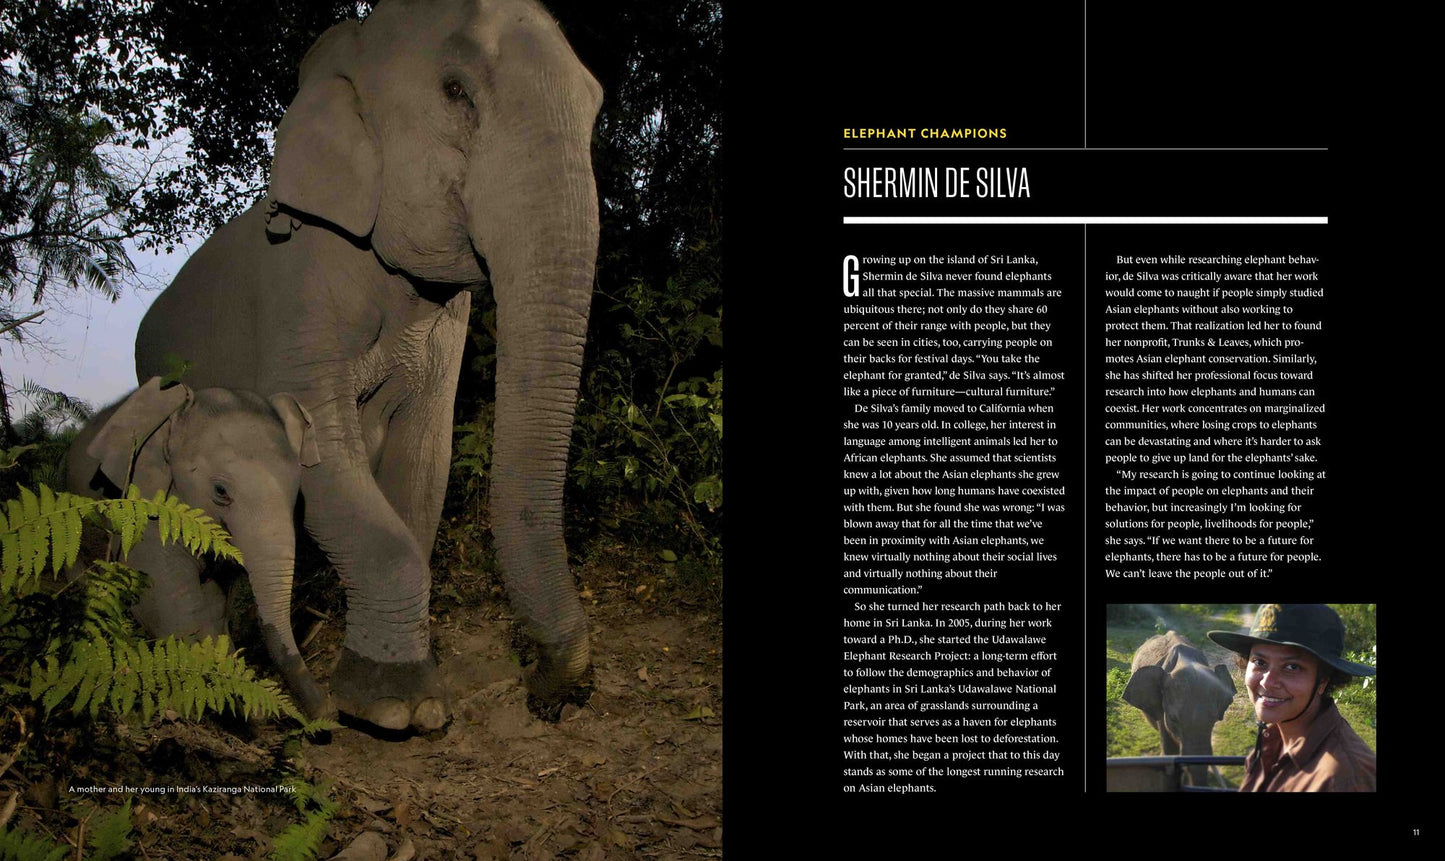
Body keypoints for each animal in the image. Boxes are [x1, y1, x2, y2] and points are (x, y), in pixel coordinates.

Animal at [65, 377, 331, 720]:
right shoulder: (144, 503)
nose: (329, 710)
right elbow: (166, 598)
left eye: (298, 492)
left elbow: (214, 603)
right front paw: (213, 699)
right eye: (220, 491)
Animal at [133, 0, 602, 731]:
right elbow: (325, 451)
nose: (546, 691)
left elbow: (423, 462)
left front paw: (407, 695)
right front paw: (393, 708)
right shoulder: (298, 283)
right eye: (455, 92)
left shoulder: (444, 322)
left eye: (596, 106)